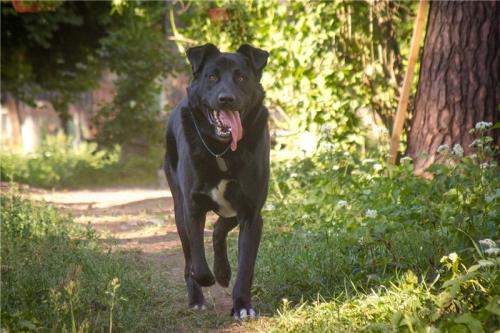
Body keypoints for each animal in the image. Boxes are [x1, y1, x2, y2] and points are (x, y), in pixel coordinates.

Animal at [164, 42, 270, 318]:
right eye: (212, 76)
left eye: (241, 77)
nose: (226, 99)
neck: (222, 150)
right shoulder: (192, 208)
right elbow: (197, 260)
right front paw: (205, 279)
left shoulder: (251, 213)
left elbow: (246, 265)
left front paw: (242, 305)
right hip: (178, 209)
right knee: (190, 257)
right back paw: (197, 297)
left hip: (233, 208)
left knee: (219, 228)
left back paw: (223, 272)